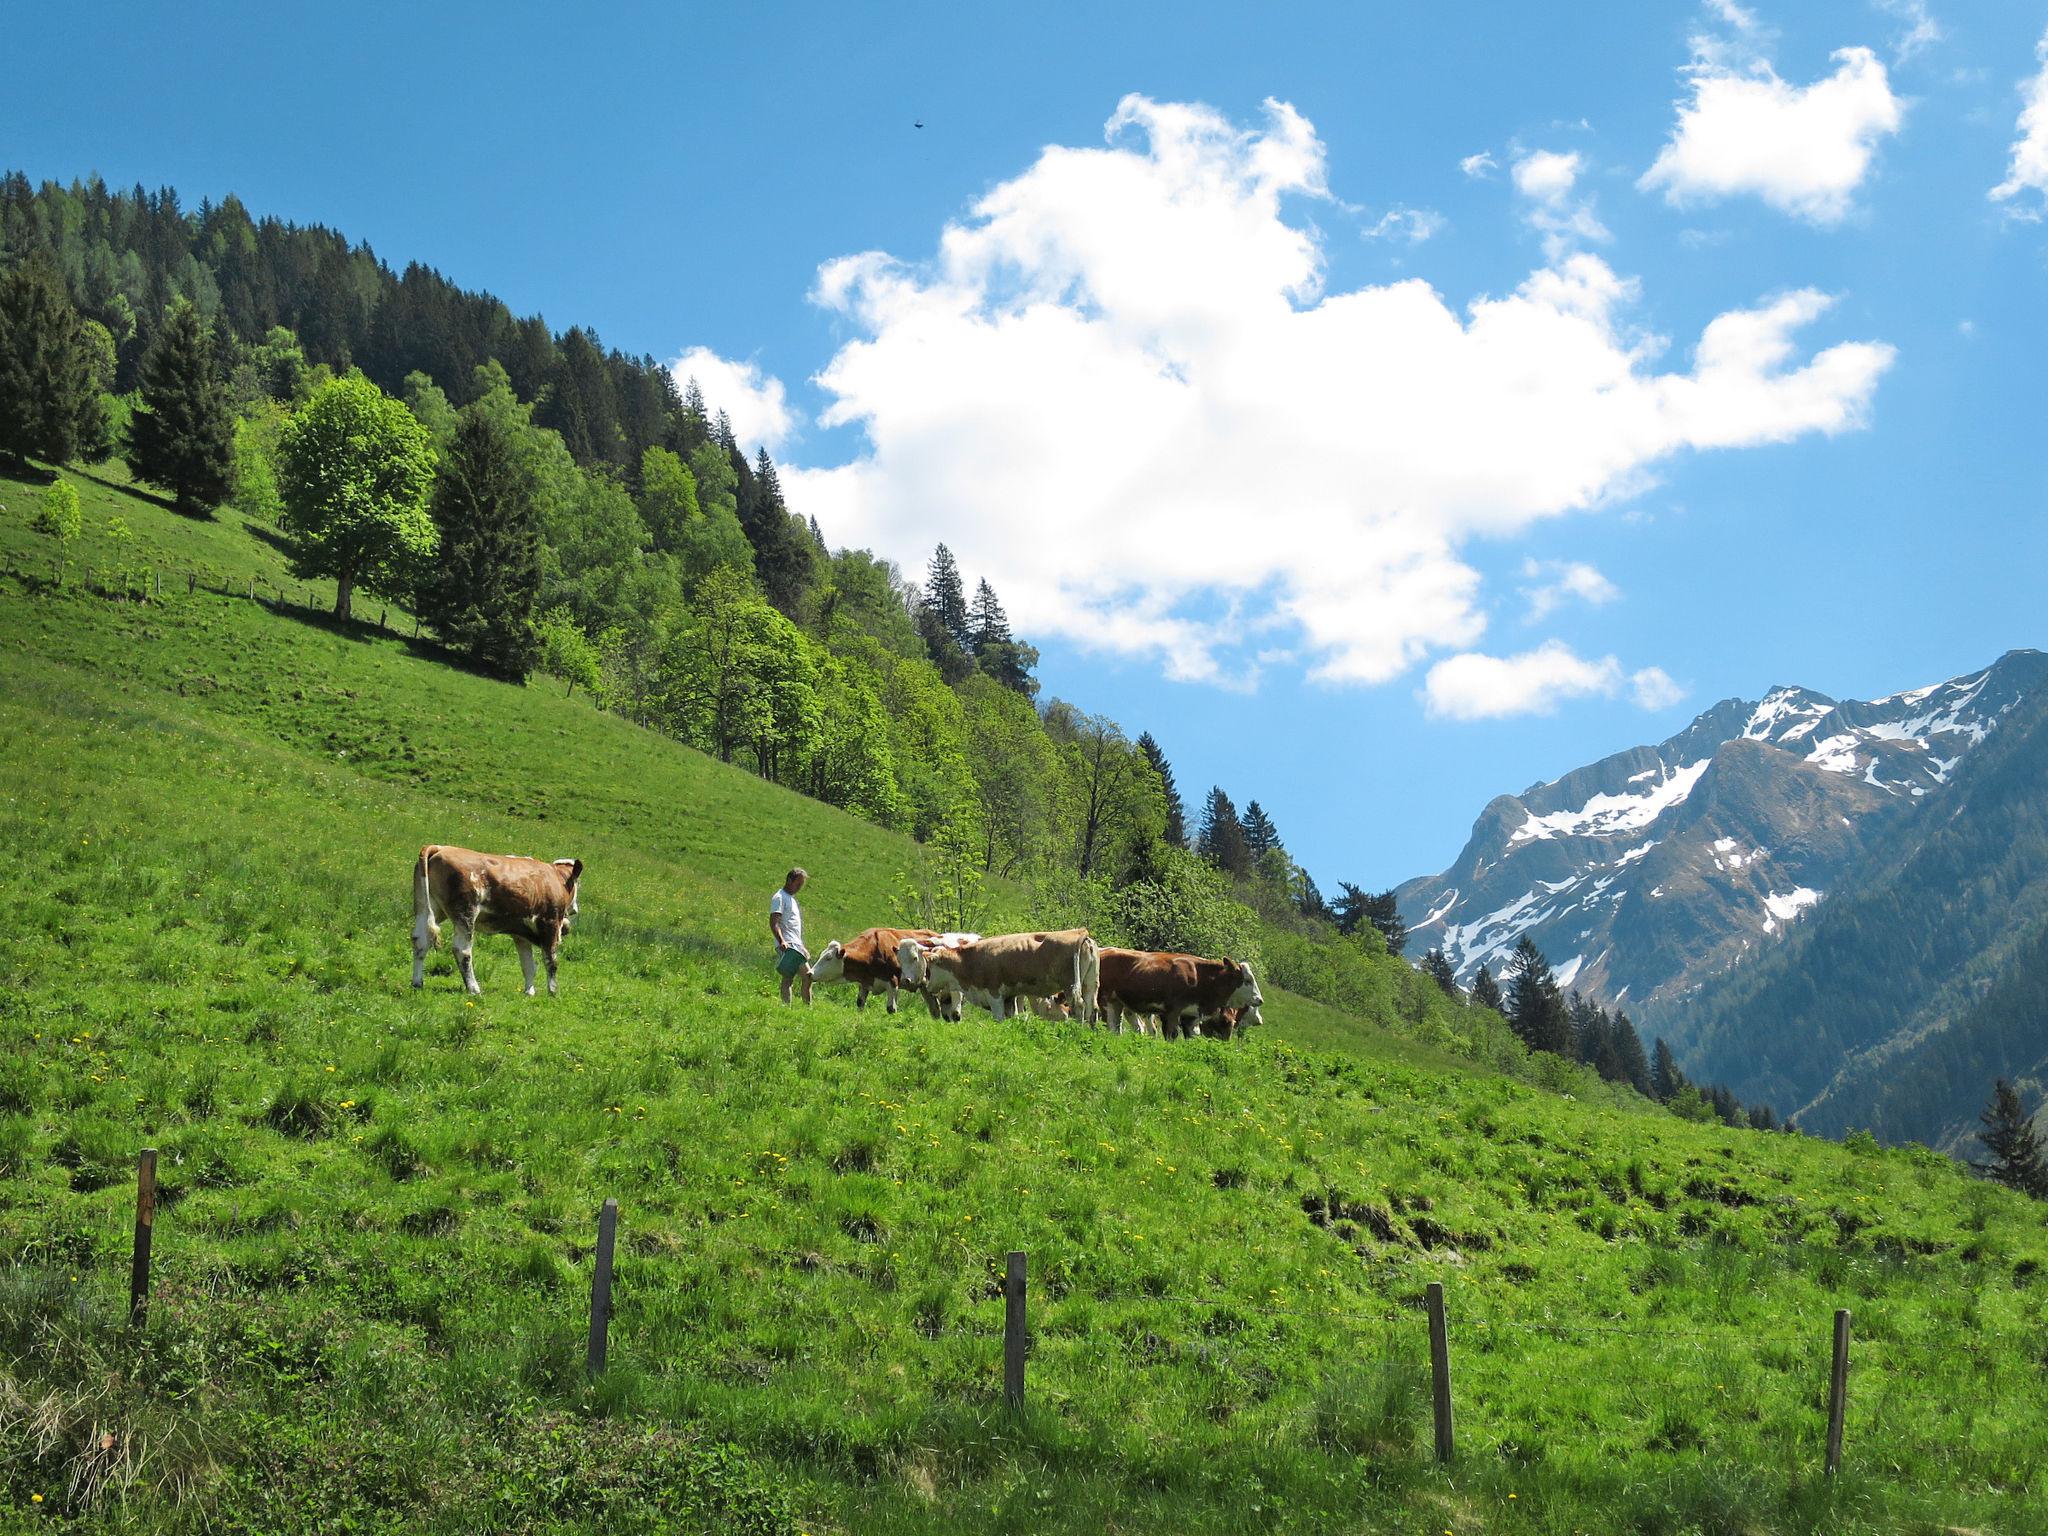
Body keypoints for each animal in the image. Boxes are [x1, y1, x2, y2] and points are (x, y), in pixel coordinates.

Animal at [409, 847, 581, 1003]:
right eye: (578, 883)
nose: (575, 909)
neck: (556, 878)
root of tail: (439, 848)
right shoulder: (551, 924)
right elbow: (551, 961)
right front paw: (553, 991)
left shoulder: (520, 933)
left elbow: (528, 964)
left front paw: (529, 991)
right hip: (465, 914)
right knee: (462, 951)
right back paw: (474, 988)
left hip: (425, 908)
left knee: (420, 942)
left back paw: (417, 983)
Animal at [811, 933, 946, 1015]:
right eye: (822, 954)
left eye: (828, 958)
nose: (810, 973)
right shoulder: (864, 983)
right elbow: (860, 1004)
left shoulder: (893, 982)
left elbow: (891, 1009)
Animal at [909, 933, 1105, 1028]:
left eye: (930, 966)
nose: (927, 985)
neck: (970, 960)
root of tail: (1082, 936)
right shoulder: (1009, 997)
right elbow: (1011, 1016)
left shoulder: (995, 994)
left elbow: (998, 1018)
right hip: (1090, 983)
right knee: (1092, 1007)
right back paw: (1091, 1030)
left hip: (1071, 985)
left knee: (1079, 1005)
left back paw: (1078, 1028)